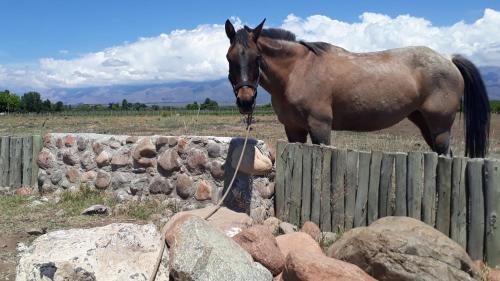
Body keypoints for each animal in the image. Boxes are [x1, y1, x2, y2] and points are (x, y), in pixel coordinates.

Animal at [225, 18, 490, 156]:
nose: (245, 100)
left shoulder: (320, 126)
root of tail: (449, 59)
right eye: (229, 58)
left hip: (441, 126)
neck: (297, 70)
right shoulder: (293, 128)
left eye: (257, 58)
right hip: (424, 122)